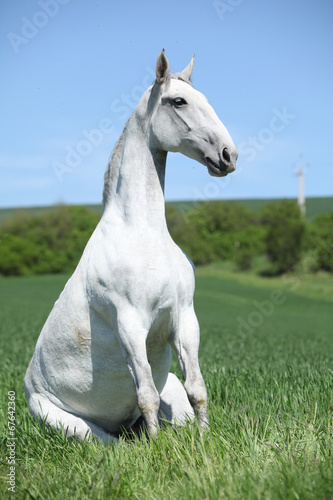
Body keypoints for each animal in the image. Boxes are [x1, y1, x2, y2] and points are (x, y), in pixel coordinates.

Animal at [24, 48, 236, 444]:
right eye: (179, 101)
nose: (229, 155)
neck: (143, 234)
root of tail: (30, 386)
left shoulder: (185, 319)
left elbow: (198, 389)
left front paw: (204, 440)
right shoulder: (131, 325)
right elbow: (146, 395)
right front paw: (156, 446)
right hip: (78, 428)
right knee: (112, 443)